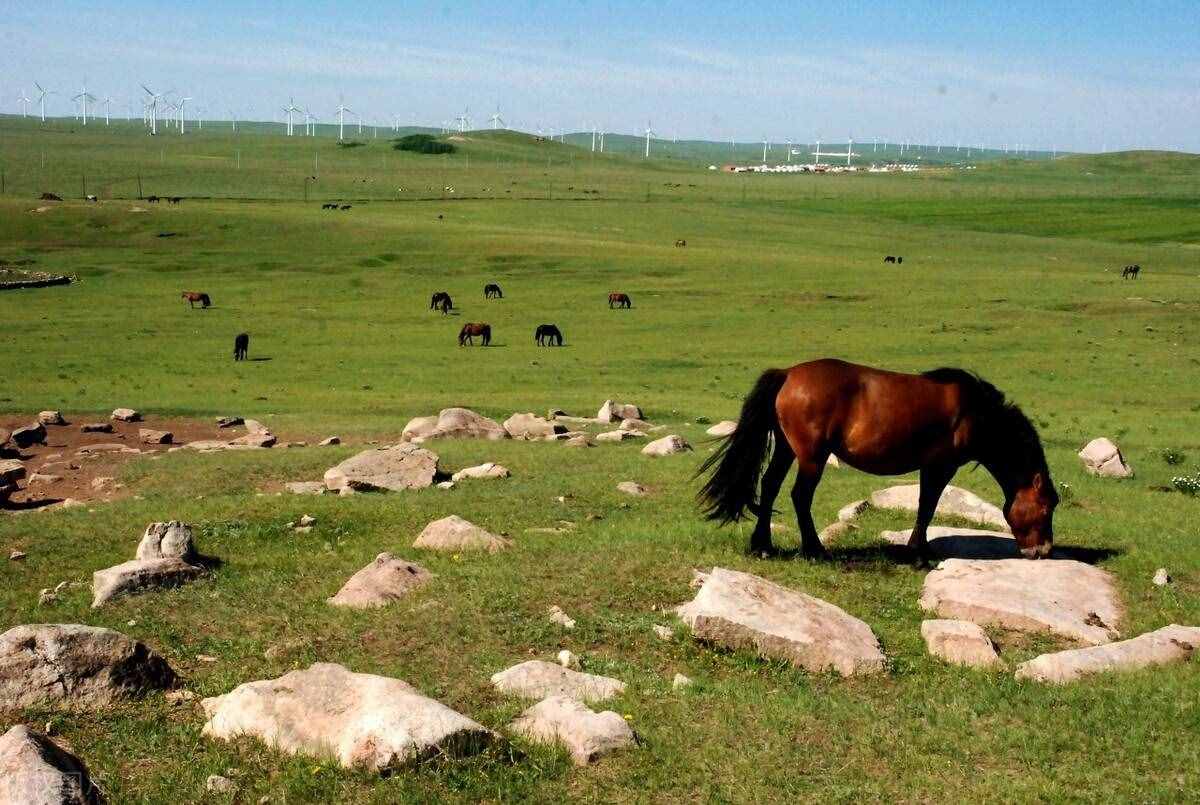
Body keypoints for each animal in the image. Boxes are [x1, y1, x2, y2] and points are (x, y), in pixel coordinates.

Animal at [700, 359, 1056, 561]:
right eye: (1047, 507)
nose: (1043, 551)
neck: (976, 413)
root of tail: (788, 375)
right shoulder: (941, 466)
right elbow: (927, 506)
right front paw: (919, 554)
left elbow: (925, 506)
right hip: (812, 457)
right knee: (800, 496)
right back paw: (814, 550)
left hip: (788, 449)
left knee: (771, 486)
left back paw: (763, 546)